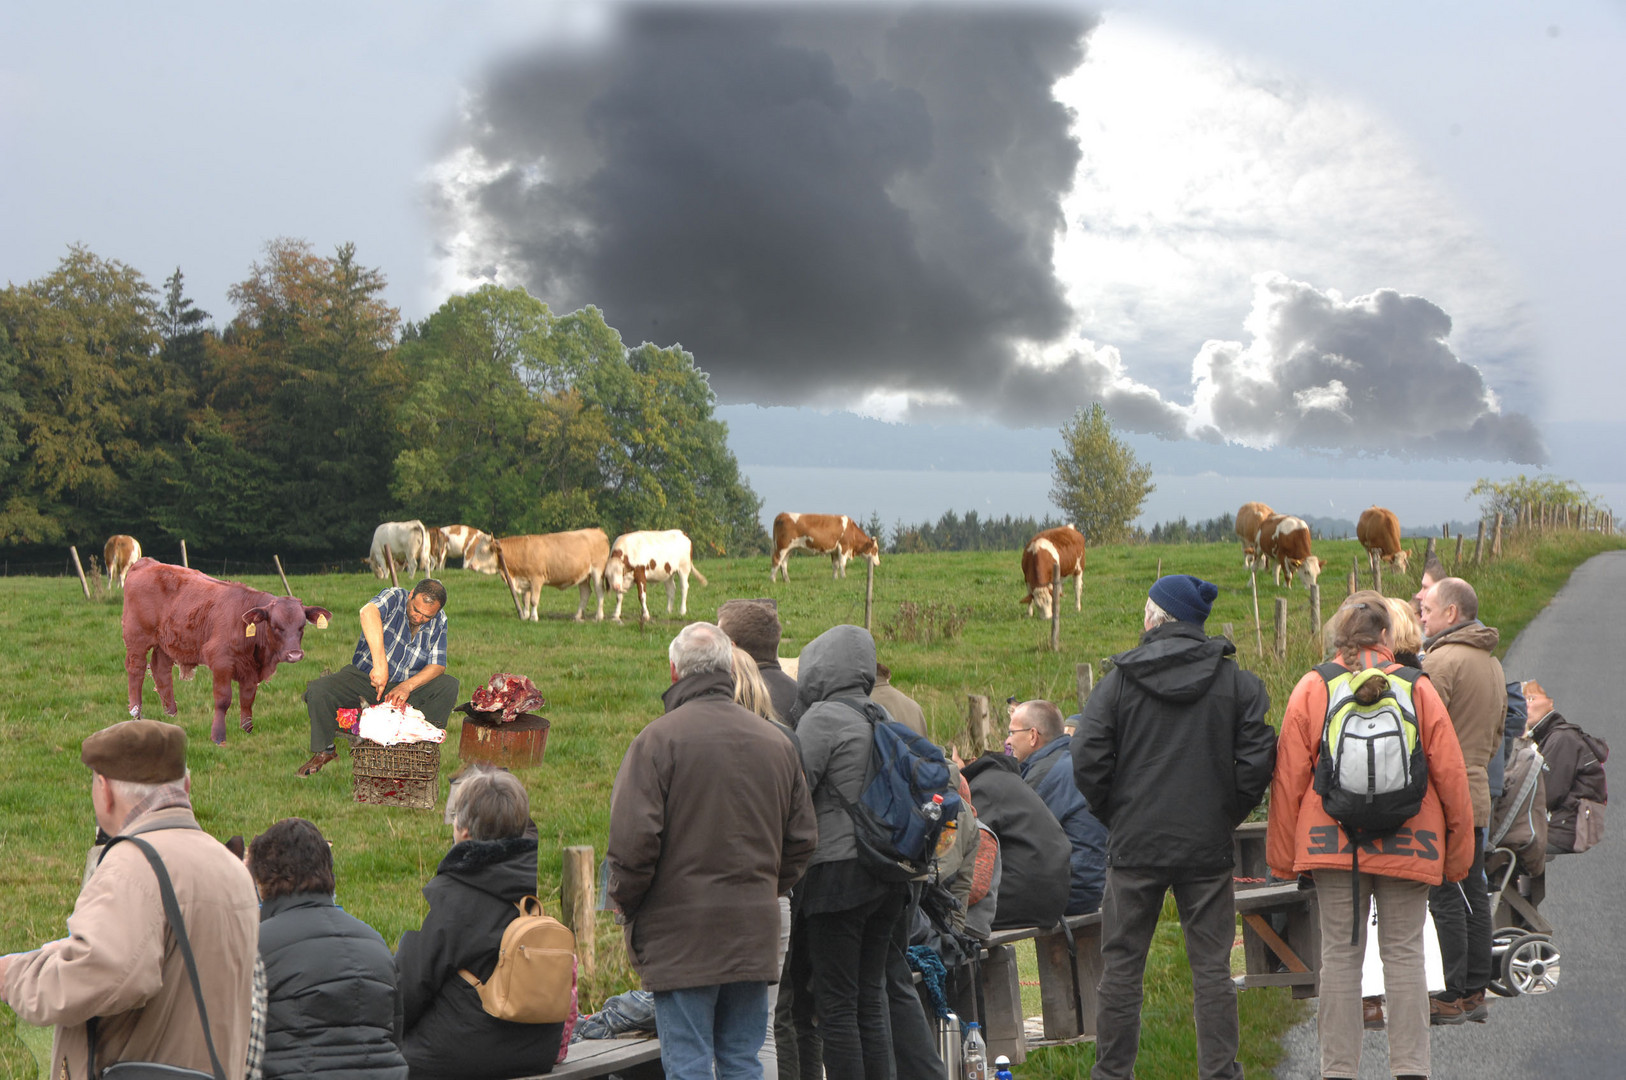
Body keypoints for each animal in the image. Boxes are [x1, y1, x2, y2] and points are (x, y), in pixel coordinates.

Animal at [120, 556, 333, 741]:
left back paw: (171, 714)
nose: (294, 654)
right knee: (136, 669)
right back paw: (135, 713)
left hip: (166, 643)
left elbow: (247, 699)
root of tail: (147, 562)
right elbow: (223, 700)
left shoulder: (250, 670)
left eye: (302, 626)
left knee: (161, 671)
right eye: (275, 626)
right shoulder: (220, 662)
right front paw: (218, 736)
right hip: (137, 638)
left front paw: (247, 729)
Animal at [468, 526, 611, 621]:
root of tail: (597, 530)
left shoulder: (536, 579)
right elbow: (525, 599)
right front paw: (525, 615)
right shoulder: (525, 580)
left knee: (599, 592)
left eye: (482, 550)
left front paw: (533, 617)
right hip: (583, 575)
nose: (470, 565)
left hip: (597, 572)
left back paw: (599, 616)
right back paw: (577, 616)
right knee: (585, 593)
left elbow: (533, 600)